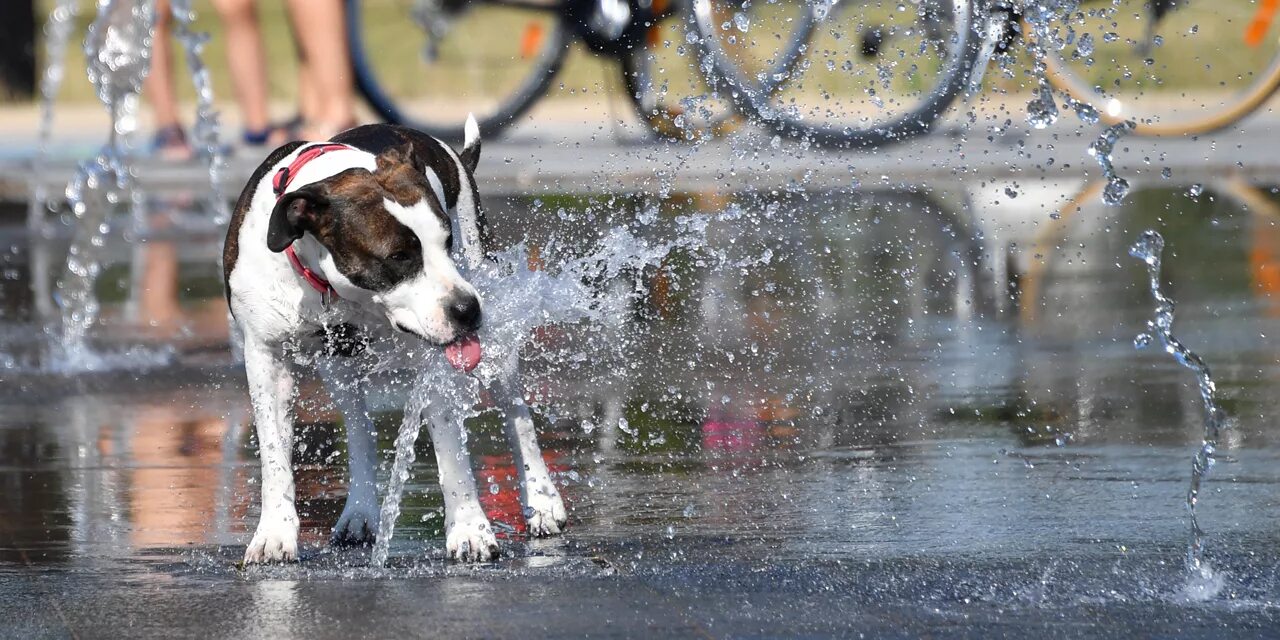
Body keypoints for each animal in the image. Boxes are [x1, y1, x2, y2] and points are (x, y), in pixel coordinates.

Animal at [224, 120, 565, 565]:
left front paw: (469, 529)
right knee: (358, 427)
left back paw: (542, 501)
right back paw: (360, 511)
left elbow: (451, 448)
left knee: (516, 415)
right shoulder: (265, 357)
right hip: (339, 365)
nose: (468, 309)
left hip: (494, 340)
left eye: (447, 242)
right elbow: (274, 455)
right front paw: (273, 533)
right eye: (399, 256)